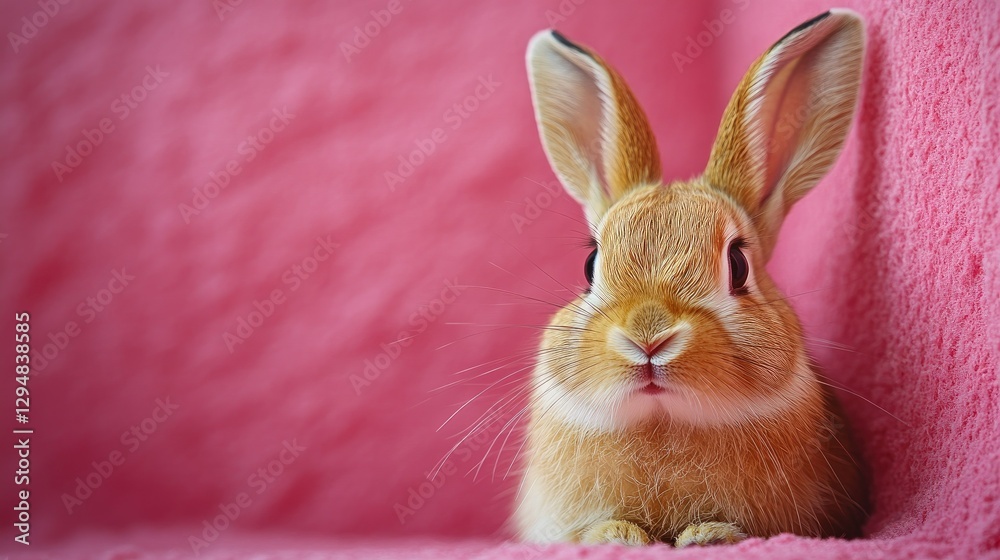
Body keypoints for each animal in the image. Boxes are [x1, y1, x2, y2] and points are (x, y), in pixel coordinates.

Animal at [514, 10, 868, 547]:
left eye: (739, 265)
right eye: (590, 265)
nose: (648, 337)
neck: (663, 421)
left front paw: (709, 535)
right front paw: (617, 535)